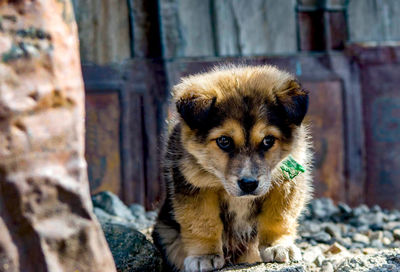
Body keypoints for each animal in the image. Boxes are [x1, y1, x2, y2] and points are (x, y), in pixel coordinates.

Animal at [152, 65, 312, 270]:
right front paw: (205, 255)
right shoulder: (194, 186)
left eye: (268, 140)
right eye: (224, 141)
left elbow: (280, 217)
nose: (249, 184)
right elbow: (202, 222)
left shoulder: (285, 183)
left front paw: (277, 245)